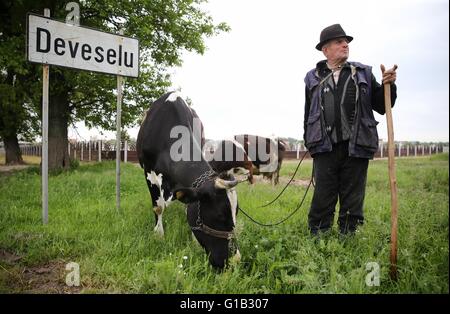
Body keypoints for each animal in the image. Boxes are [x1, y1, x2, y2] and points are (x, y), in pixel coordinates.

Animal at [137, 92, 243, 268]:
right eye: (220, 216)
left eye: (236, 213)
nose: (235, 260)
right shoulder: (149, 173)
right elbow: (158, 208)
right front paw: (158, 234)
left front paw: (194, 240)